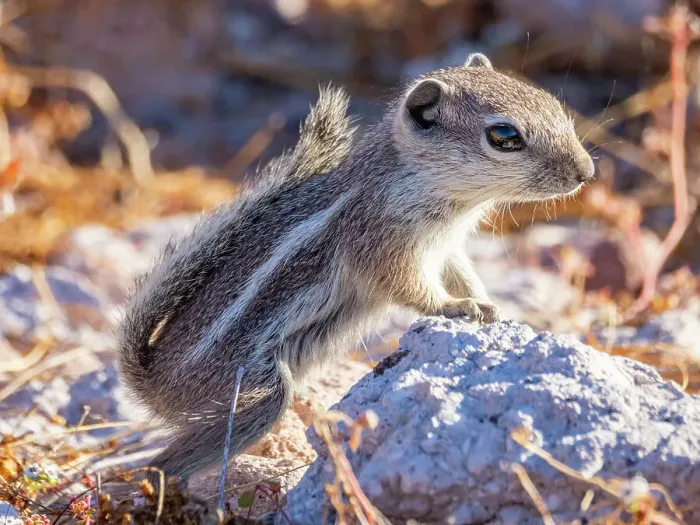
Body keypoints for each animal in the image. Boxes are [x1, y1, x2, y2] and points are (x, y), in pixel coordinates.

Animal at [117, 53, 594, 483]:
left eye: (553, 105)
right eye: (504, 135)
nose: (586, 172)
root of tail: (154, 384)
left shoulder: (447, 249)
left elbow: (462, 273)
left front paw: (488, 303)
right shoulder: (383, 242)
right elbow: (412, 289)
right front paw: (457, 308)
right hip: (249, 391)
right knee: (167, 462)